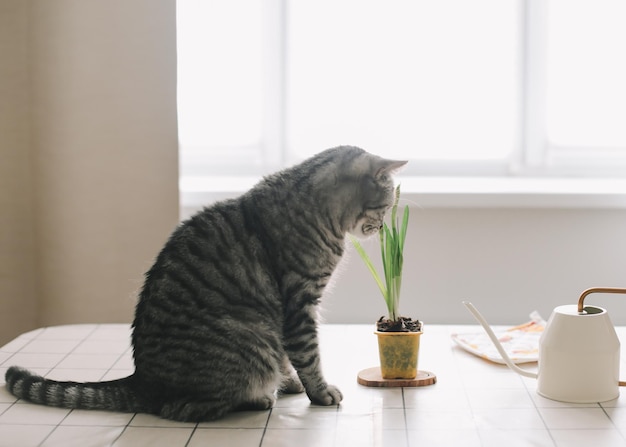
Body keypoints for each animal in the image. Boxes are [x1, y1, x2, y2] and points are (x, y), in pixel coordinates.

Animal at [4, 147, 408, 424]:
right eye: (385, 205)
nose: (383, 227)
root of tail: (141, 381)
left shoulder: (290, 313)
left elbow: (289, 357)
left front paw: (291, 382)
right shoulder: (300, 302)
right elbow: (308, 355)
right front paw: (319, 392)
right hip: (249, 336)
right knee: (182, 409)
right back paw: (257, 398)